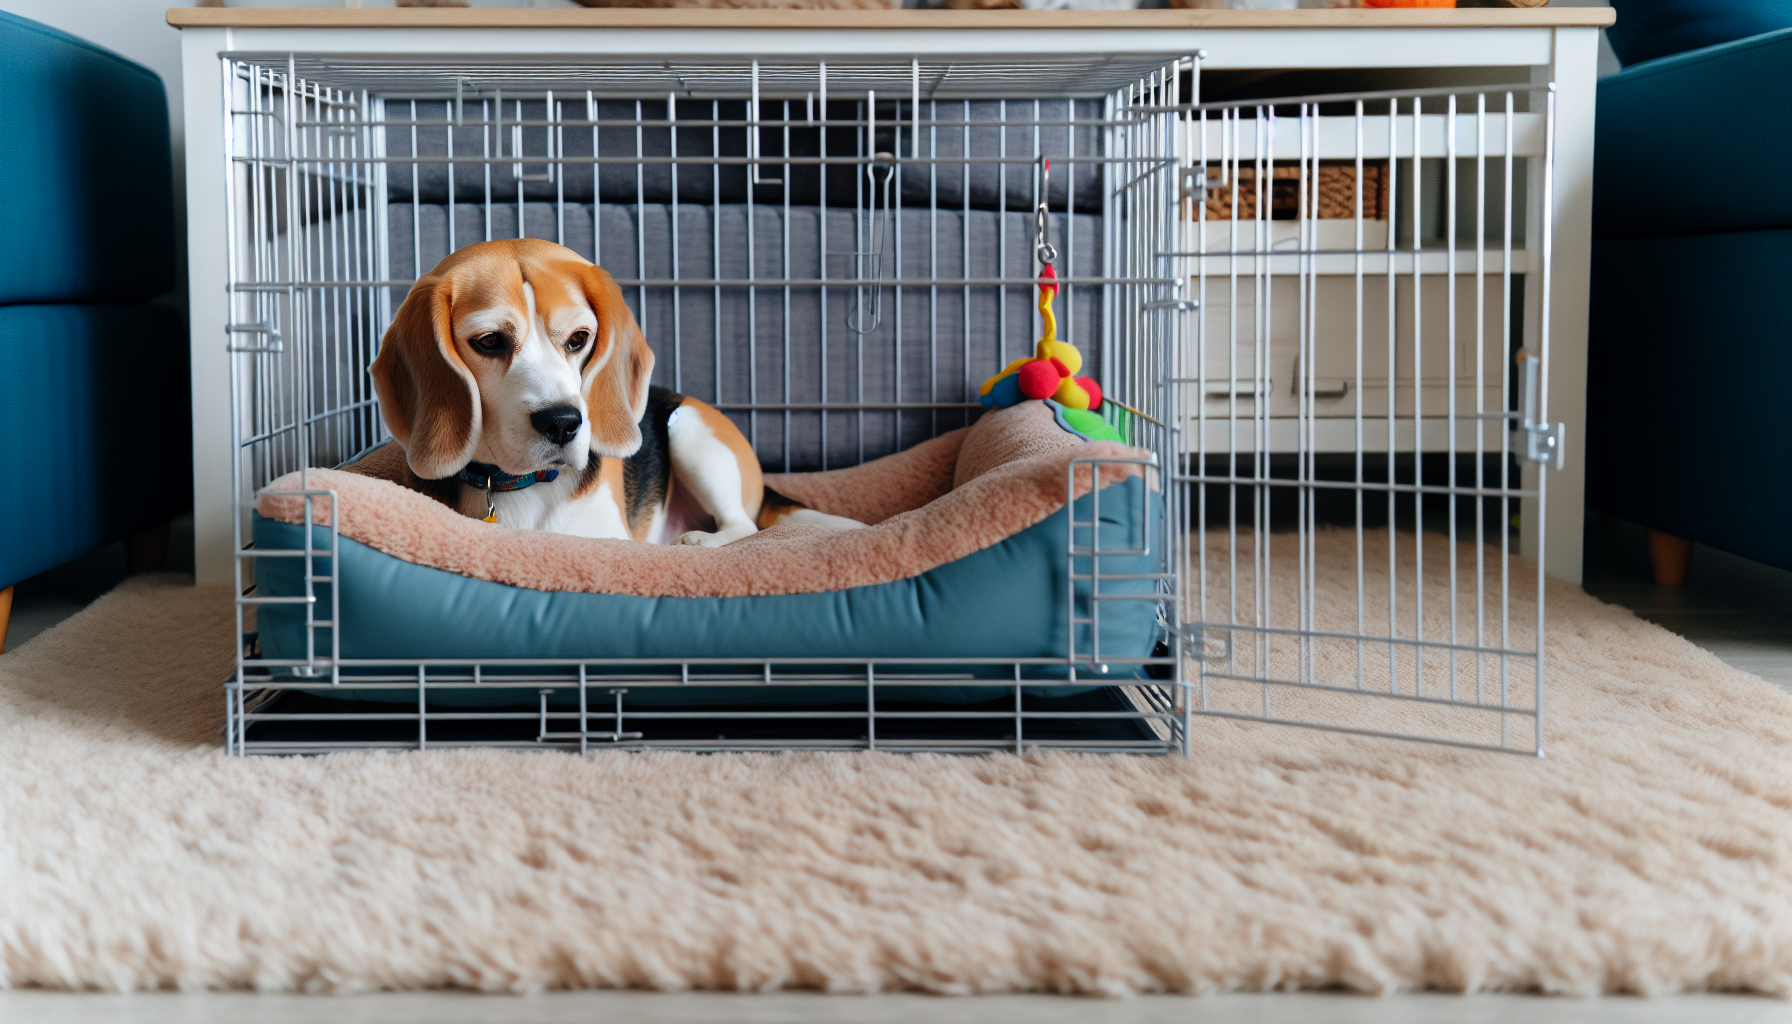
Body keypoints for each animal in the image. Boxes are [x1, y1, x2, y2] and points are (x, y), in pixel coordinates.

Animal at [370, 240, 860, 545]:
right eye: (489, 341)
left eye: (578, 339)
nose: (563, 423)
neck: (520, 486)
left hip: (689, 430)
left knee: (744, 526)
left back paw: (698, 542)